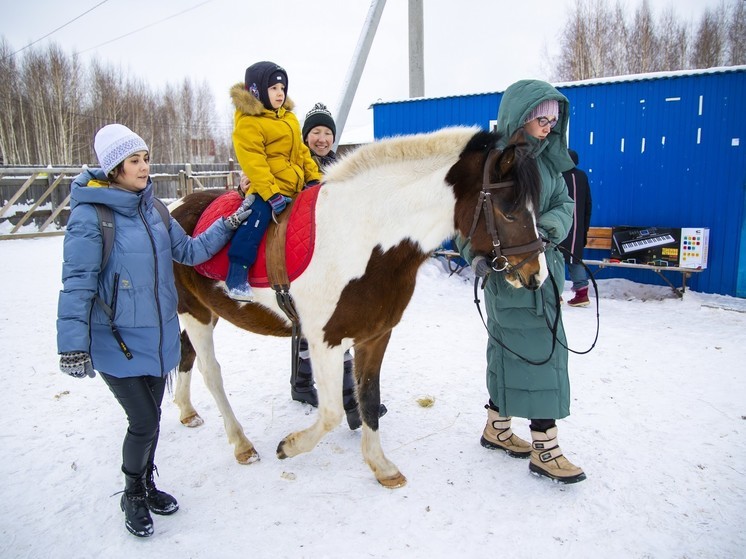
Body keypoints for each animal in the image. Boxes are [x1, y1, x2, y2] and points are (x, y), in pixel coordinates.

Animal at [170, 124, 548, 488]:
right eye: (509, 212)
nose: (535, 274)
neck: (363, 238)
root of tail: (175, 209)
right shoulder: (325, 342)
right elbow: (332, 412)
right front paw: (288, 447)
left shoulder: (375, 336)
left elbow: (367, 397)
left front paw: (382, 467)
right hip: (196, 312)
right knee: (211, 372)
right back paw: (241, 443)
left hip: (203, 311)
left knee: (185, 352)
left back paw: (186, 411)